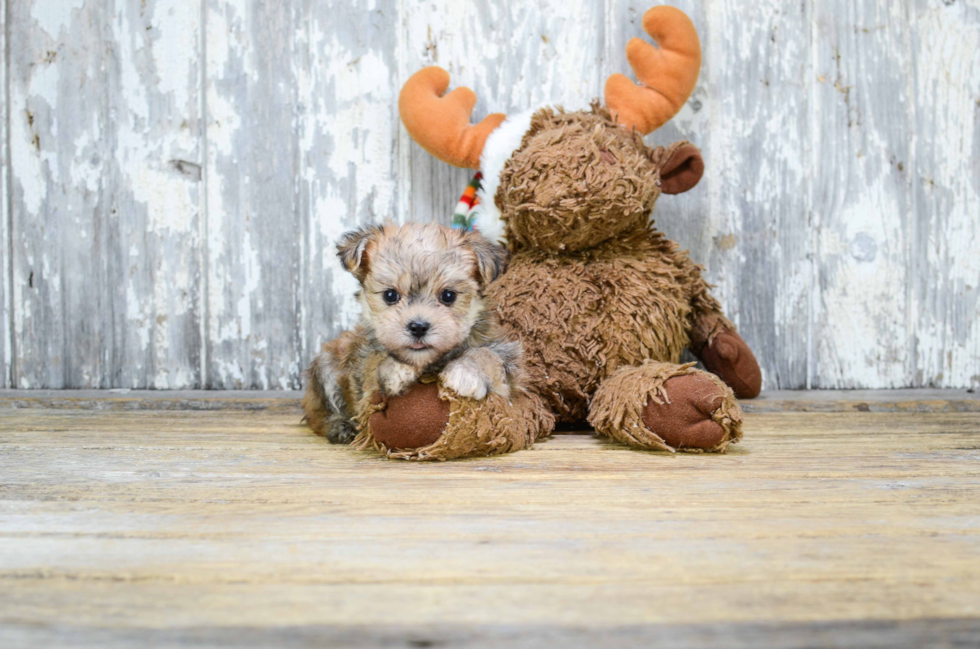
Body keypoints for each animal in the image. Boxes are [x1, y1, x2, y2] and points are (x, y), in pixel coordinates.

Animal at [304, 223, 536, 456]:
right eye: (390, 295)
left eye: (448, 296)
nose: (418, 327)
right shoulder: (364, 386)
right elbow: (374, 362)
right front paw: (394, 369)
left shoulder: (509, 374)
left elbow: (487, 355)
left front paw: (466, 372)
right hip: (326, 367)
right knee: (321, 414)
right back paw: (340, 427)